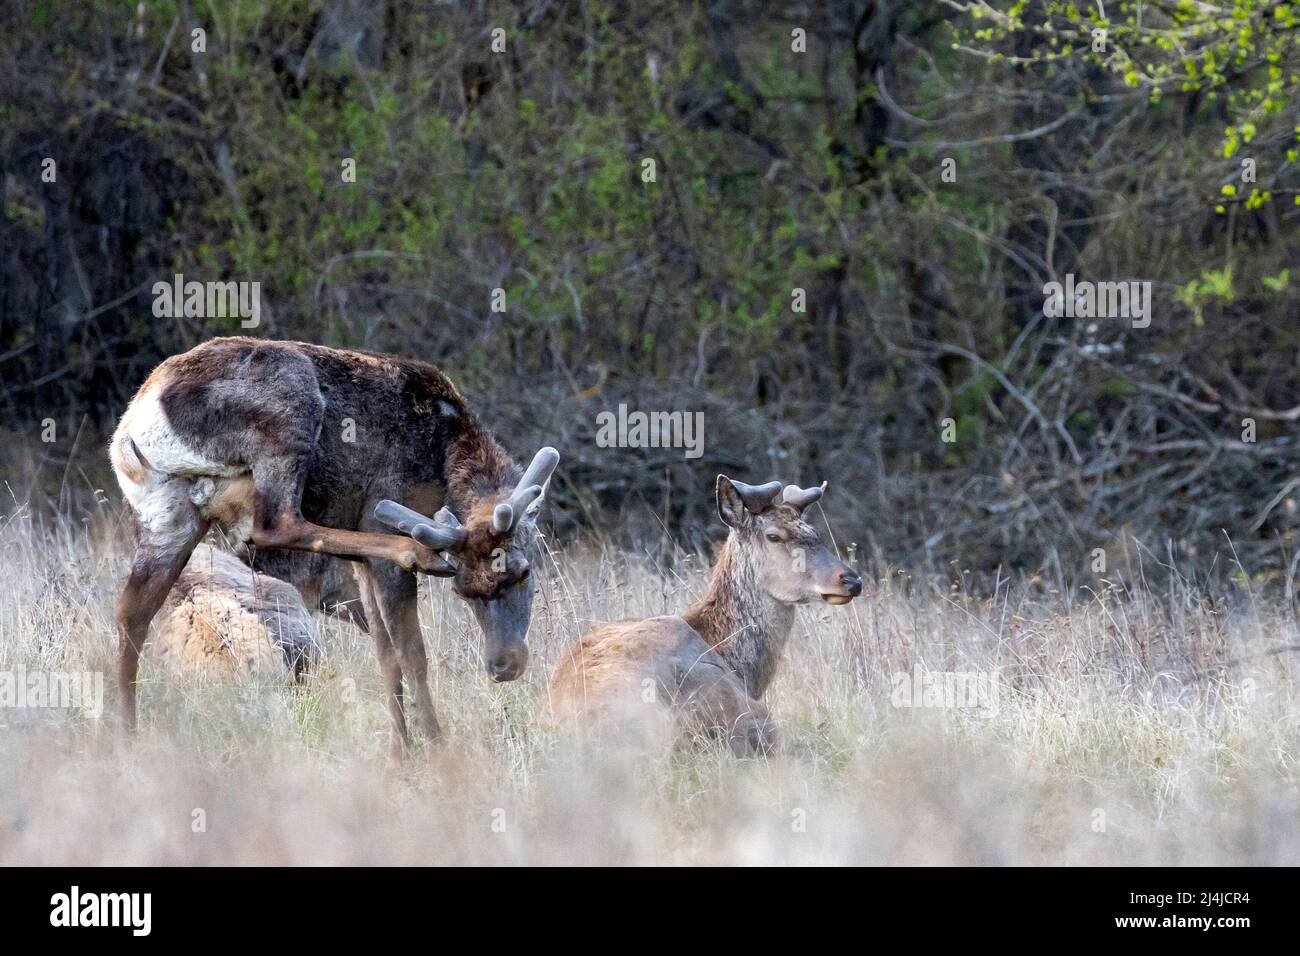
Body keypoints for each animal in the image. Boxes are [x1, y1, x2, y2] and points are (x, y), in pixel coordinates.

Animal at [111, 335, 559, 749]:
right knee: (276, 521)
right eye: (464, 591)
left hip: (165, 514)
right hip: (289, 411)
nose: (504, 665)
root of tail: (134, 425)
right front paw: (436, 747)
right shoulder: (384, 517)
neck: (446, 456)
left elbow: (385, 655)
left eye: (522, 573)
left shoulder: (364, 566)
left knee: (132, 614)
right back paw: (417, 552)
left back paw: (128, 735)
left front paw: (400, 750)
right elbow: (412, 653)